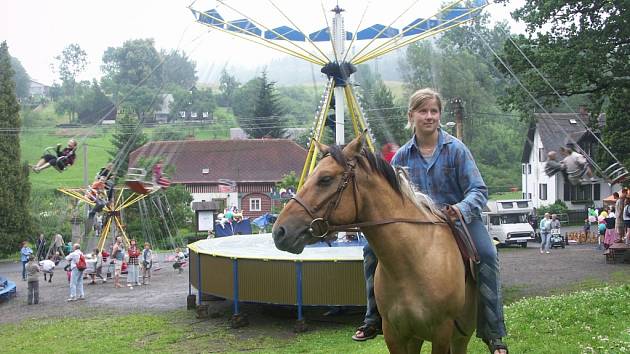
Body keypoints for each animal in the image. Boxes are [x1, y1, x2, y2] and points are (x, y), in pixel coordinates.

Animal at [272, 133, 478, 354]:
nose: (279, 232)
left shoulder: (441, 334)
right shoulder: (395, 335)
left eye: (325, 179)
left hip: (460, 337)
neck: (413, 263)